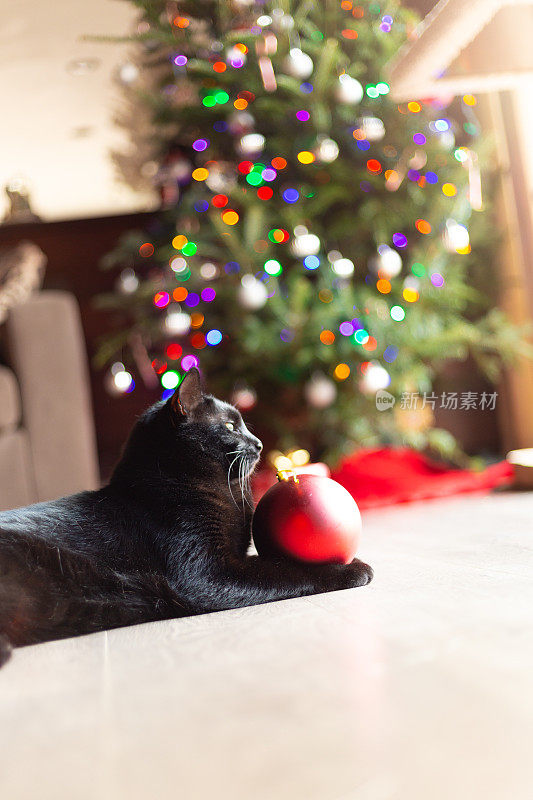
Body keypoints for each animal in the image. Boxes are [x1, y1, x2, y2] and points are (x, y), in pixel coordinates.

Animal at [0, 368, 372, 664]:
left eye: (244, 426)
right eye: (230, 426)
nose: (260, 443)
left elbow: (272, 563)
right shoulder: (206, 572)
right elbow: (285, 570)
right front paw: (353, 570)